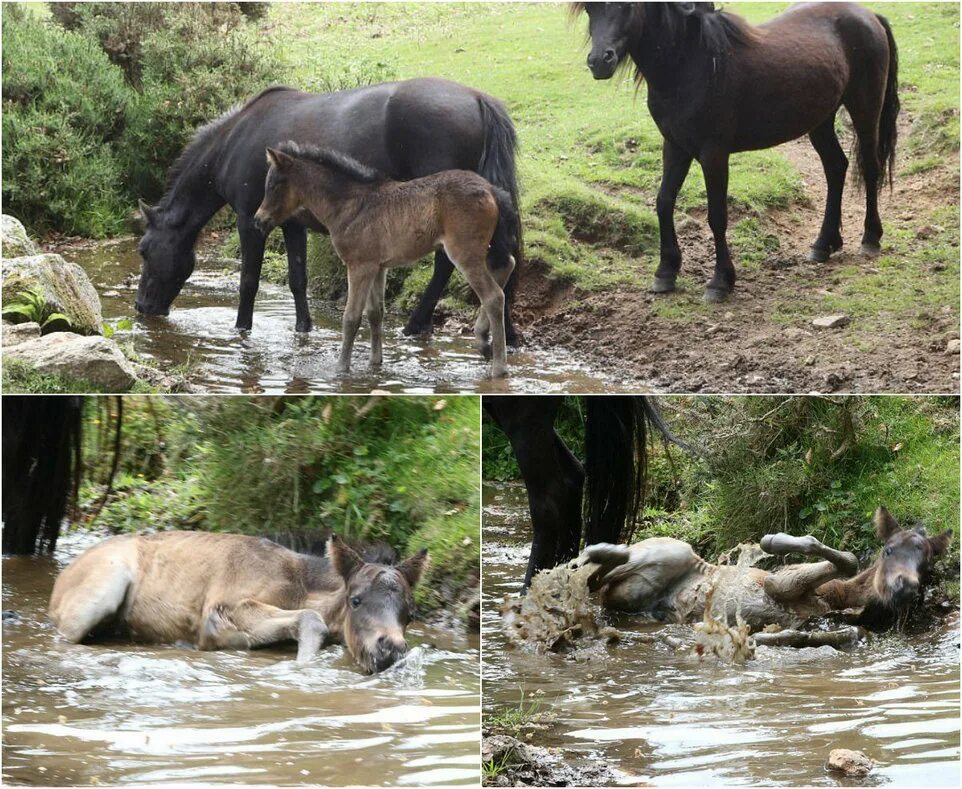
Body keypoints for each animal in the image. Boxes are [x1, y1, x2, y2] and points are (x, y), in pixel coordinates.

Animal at [251, 143, 512, 378]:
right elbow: (376, 313)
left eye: (274, 185)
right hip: (484, 248)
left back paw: (498, 366)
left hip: (464, 252)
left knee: (493, 296)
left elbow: (351, 317)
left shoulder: (359, 266)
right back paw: (483, 342)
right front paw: (375, 363)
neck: (350, 205)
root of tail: (490, 188)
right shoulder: (378, 267)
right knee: (507, 265)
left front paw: (341, 368)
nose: (258, 220)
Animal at [576, 1, 900, 302]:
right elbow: (663, 202)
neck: (690, 65)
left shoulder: (714, 153)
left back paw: (870, 238)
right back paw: (823, 244)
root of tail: (868, 15)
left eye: (628, 6)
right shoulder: (675, 146)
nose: (599, 61)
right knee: (836, 167)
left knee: (870, 167)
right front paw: (666, 272)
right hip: (819, 120)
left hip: (865, 110)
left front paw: (720, 281)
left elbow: (717, 215)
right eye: (590, 8)